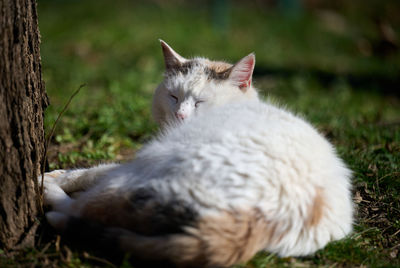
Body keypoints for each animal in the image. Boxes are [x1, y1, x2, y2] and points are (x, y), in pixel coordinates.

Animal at [40, 41, 354, 268]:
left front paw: (55, 175)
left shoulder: (139, 160)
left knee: (82, 208)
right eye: (174, 97)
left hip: (151, 170)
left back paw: (45, 188)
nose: (180, 115)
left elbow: (96, 170)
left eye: (201, 102)